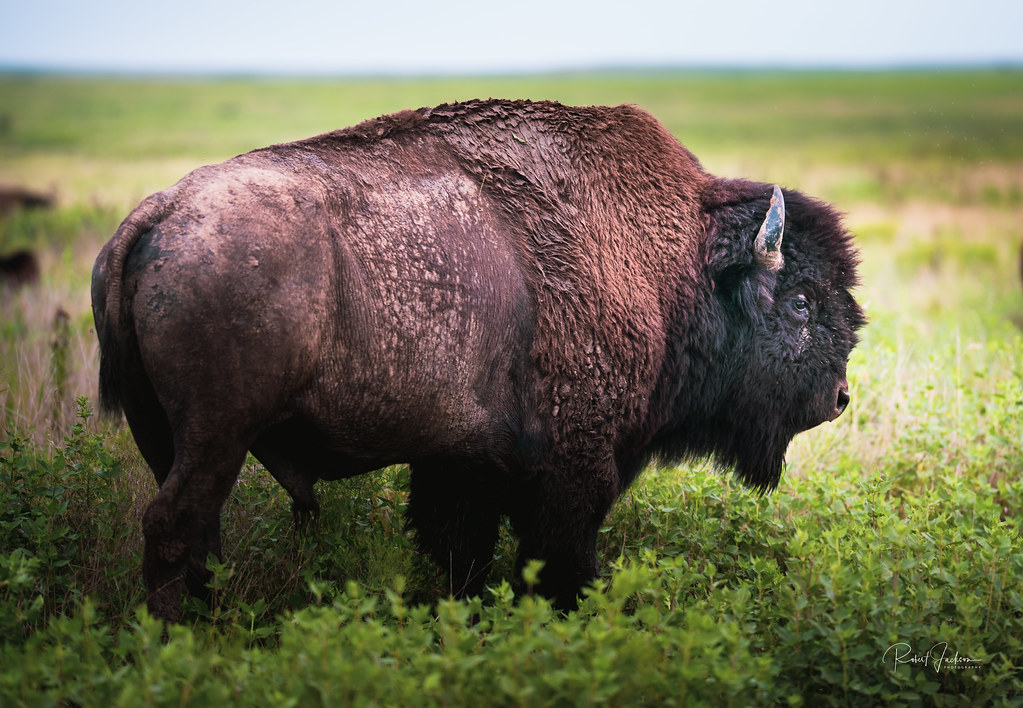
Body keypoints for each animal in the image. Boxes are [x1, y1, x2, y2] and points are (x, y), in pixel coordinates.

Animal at [92, 99, 865, 622]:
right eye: (800, 300)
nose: (837, 397)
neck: (671, 266)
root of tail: (158, 215)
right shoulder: (570, 471)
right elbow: (560, 560)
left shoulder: (460, 465)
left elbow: (460, 556)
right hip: (216, 433)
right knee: (174, 526)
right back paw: (183, 641)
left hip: (163, 435)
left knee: (197, 532)